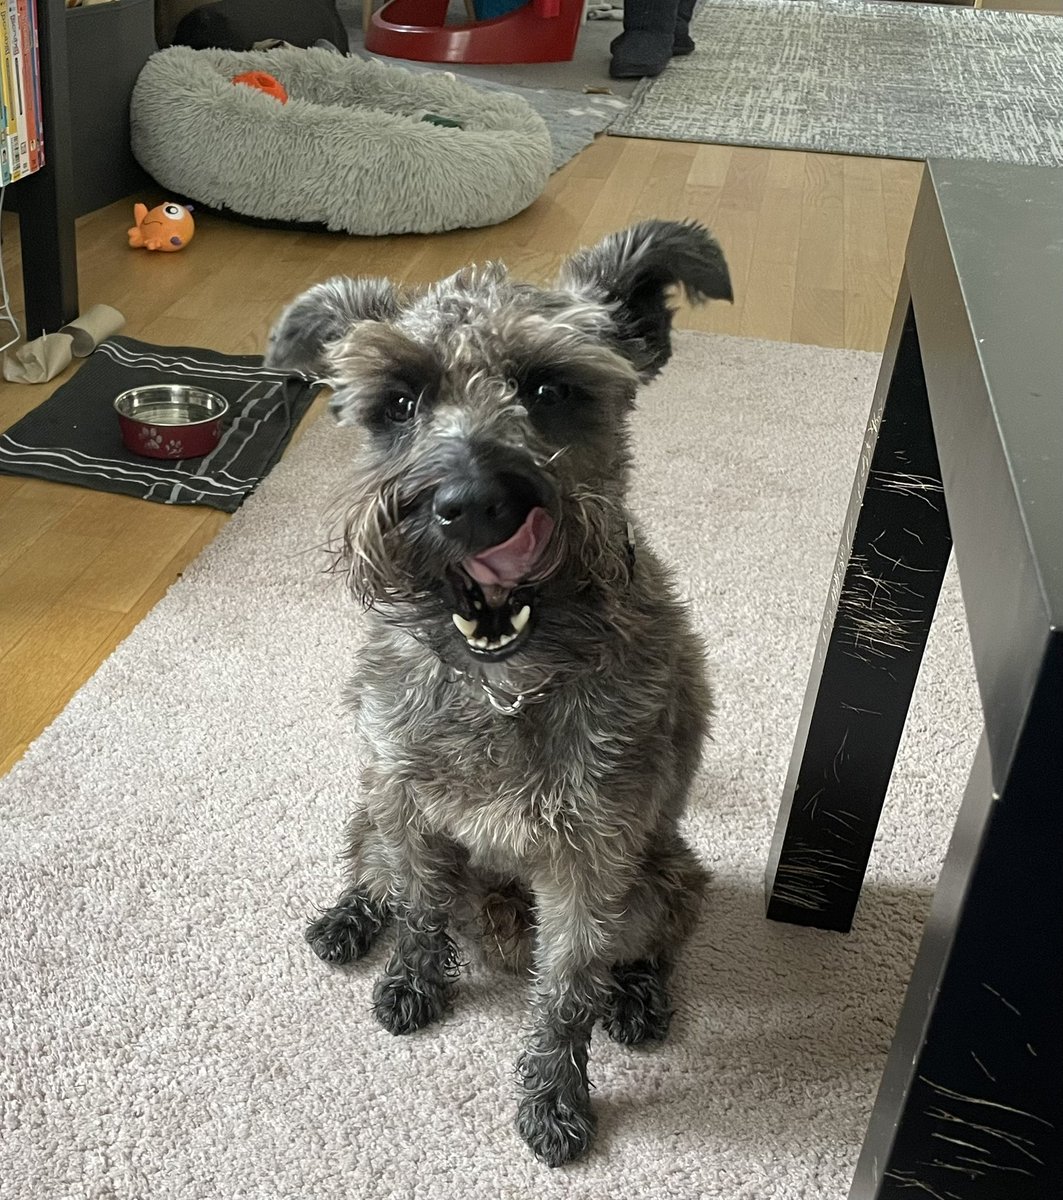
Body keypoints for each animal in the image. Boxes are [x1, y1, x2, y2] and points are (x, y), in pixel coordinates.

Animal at [266, 220, 734, 1166]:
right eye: (397, 403)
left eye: (550, 388)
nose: (472, 504)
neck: (498, 691)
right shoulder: (405, 805)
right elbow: (417, 909)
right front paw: (410, 980)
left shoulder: (589, 866)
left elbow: (565, 994)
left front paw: (554, 1098)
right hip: (369, 806)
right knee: (374, 873)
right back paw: (348, 919)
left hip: (664, 879)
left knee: (651, 947)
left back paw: (638, 1000)